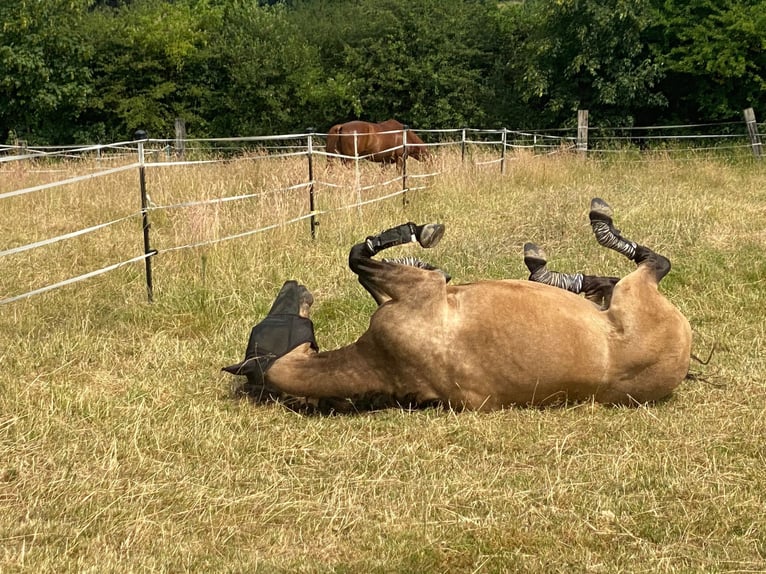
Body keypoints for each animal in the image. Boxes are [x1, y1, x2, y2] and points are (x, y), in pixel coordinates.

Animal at [224, 200, 696, 412]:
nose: (292, 283)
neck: (382, 362)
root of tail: (684, 361)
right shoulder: (420, 291)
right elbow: (359, 257)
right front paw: (419, 233)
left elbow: (361, 264)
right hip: (638, 291)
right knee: (653, 263)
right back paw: (580, 242)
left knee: (617, 277)